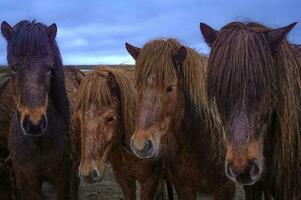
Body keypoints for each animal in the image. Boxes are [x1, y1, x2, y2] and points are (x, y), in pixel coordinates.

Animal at [0, 19, 78, 199]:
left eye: (49, 68)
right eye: (12, 68)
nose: (34, 124)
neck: (39, 143)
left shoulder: (62, 180)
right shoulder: (27, 182)